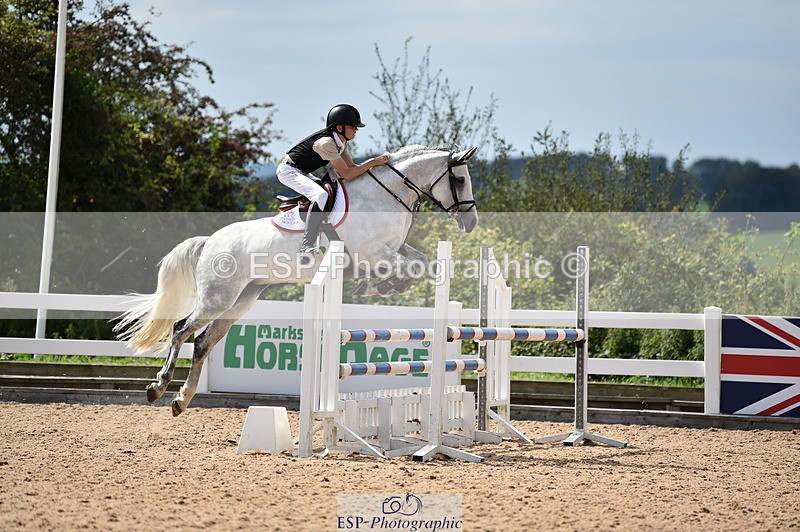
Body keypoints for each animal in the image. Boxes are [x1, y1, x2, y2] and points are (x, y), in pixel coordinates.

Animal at [114, 144, 480, 416]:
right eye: (460, 180)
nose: (472, 222)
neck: (387, 195)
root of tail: (210, 241)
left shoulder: (393, 248)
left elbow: (420, 263)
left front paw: (383, 285)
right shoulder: (372, 251)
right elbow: (410, 267)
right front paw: (380, 285)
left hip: (241, 300)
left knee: (204, 342)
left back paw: (182, 399)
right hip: (218, 297)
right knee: (181, 329)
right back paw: (158, 387)